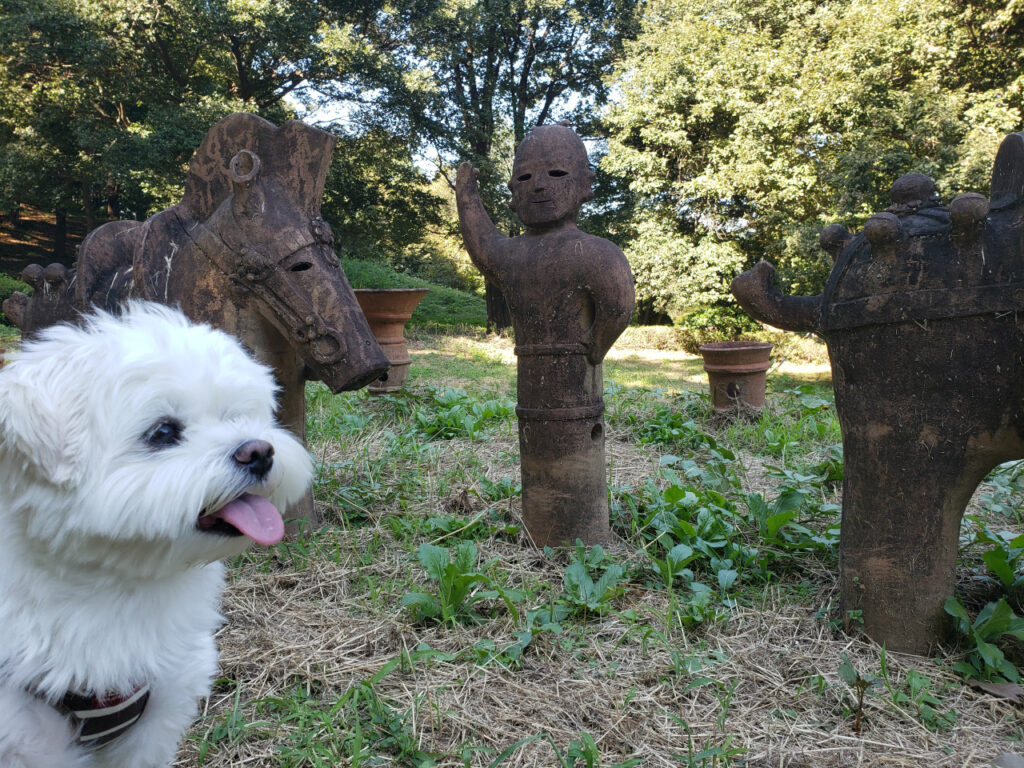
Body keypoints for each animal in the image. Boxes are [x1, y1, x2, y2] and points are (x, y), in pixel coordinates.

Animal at [0, 303, 311, 765]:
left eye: (235, 416)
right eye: (163, 432)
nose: (258, 451)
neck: (113, 589)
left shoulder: (160, 712)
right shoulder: (26, 735)